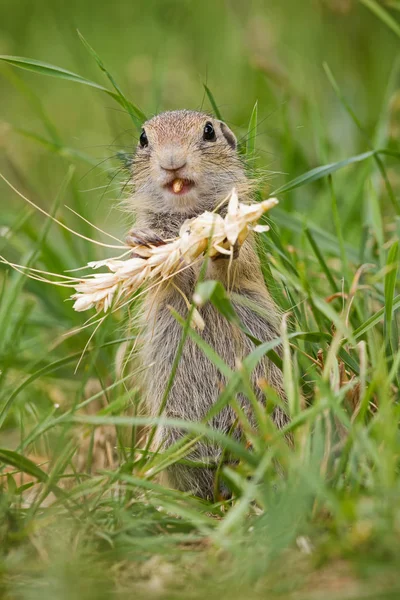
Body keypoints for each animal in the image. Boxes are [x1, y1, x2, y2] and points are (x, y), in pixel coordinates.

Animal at [128, 110, 288, 500]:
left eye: (209, 131)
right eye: (143, 139)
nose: (172, 162)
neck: (186, 213)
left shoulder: (247, 249)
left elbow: (234, 266)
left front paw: (220, 240)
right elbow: (163, 279)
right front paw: (146, 245)